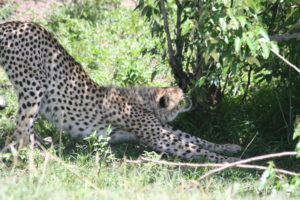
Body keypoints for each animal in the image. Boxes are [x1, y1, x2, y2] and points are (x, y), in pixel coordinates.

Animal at [0, 21, 240, 162]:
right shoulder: (159, 137)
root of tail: (13, 23)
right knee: (21, 129)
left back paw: (43, 144)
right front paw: (230, 163)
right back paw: (38, 155)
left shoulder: (162, 128)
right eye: (181, 98)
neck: (145, 101)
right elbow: (194, 148)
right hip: (32, 87)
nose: (191, 100)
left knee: (24, 129)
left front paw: (229, 147)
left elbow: (197, 139)